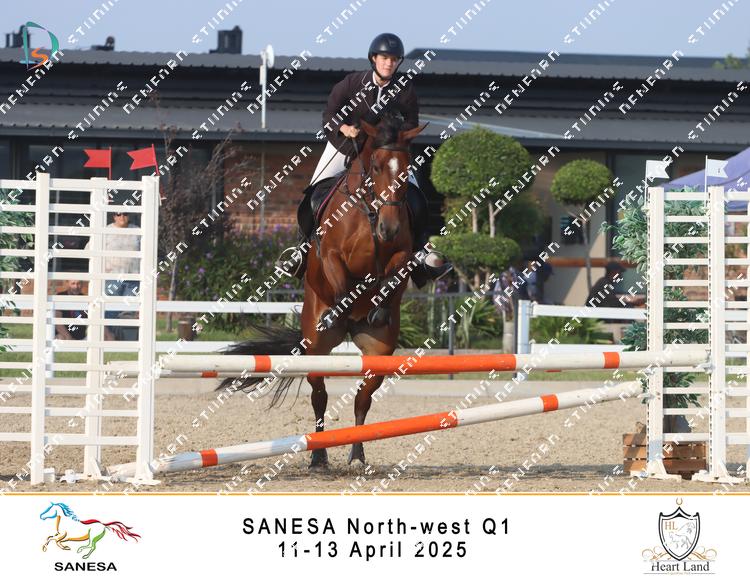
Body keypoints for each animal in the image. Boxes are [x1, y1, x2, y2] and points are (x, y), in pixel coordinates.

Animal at [220, 114, 428, 467]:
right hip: (315, 349)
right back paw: (319, 455)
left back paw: (357, 454)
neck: (370, 210)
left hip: (378, 353)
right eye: (375, 166)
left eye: (406, 166)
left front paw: (379, 308)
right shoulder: (331, 253)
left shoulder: (402, 252)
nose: (388, 228)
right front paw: (338, 310)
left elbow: (391, 274)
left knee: (362, 399)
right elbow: (341, 280)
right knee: (320, 395)